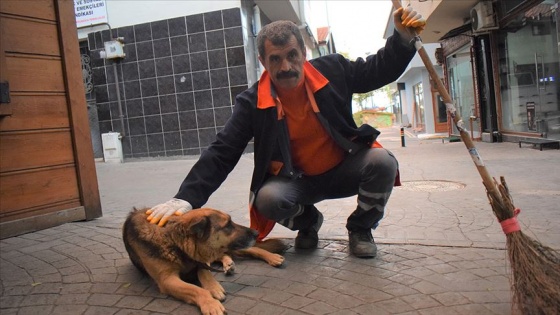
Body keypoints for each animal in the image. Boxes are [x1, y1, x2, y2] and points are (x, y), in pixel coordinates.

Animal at [124, 207, 286, 315]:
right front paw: (210, 302)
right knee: (224, 256)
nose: (256, 233)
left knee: (253, 249)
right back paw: (228, 264)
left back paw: (272, 257)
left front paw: (213, 287)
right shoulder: (167, 280)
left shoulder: (201, 259)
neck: (174, 241)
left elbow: (204, 272)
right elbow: (196, 289)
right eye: (228, 224)